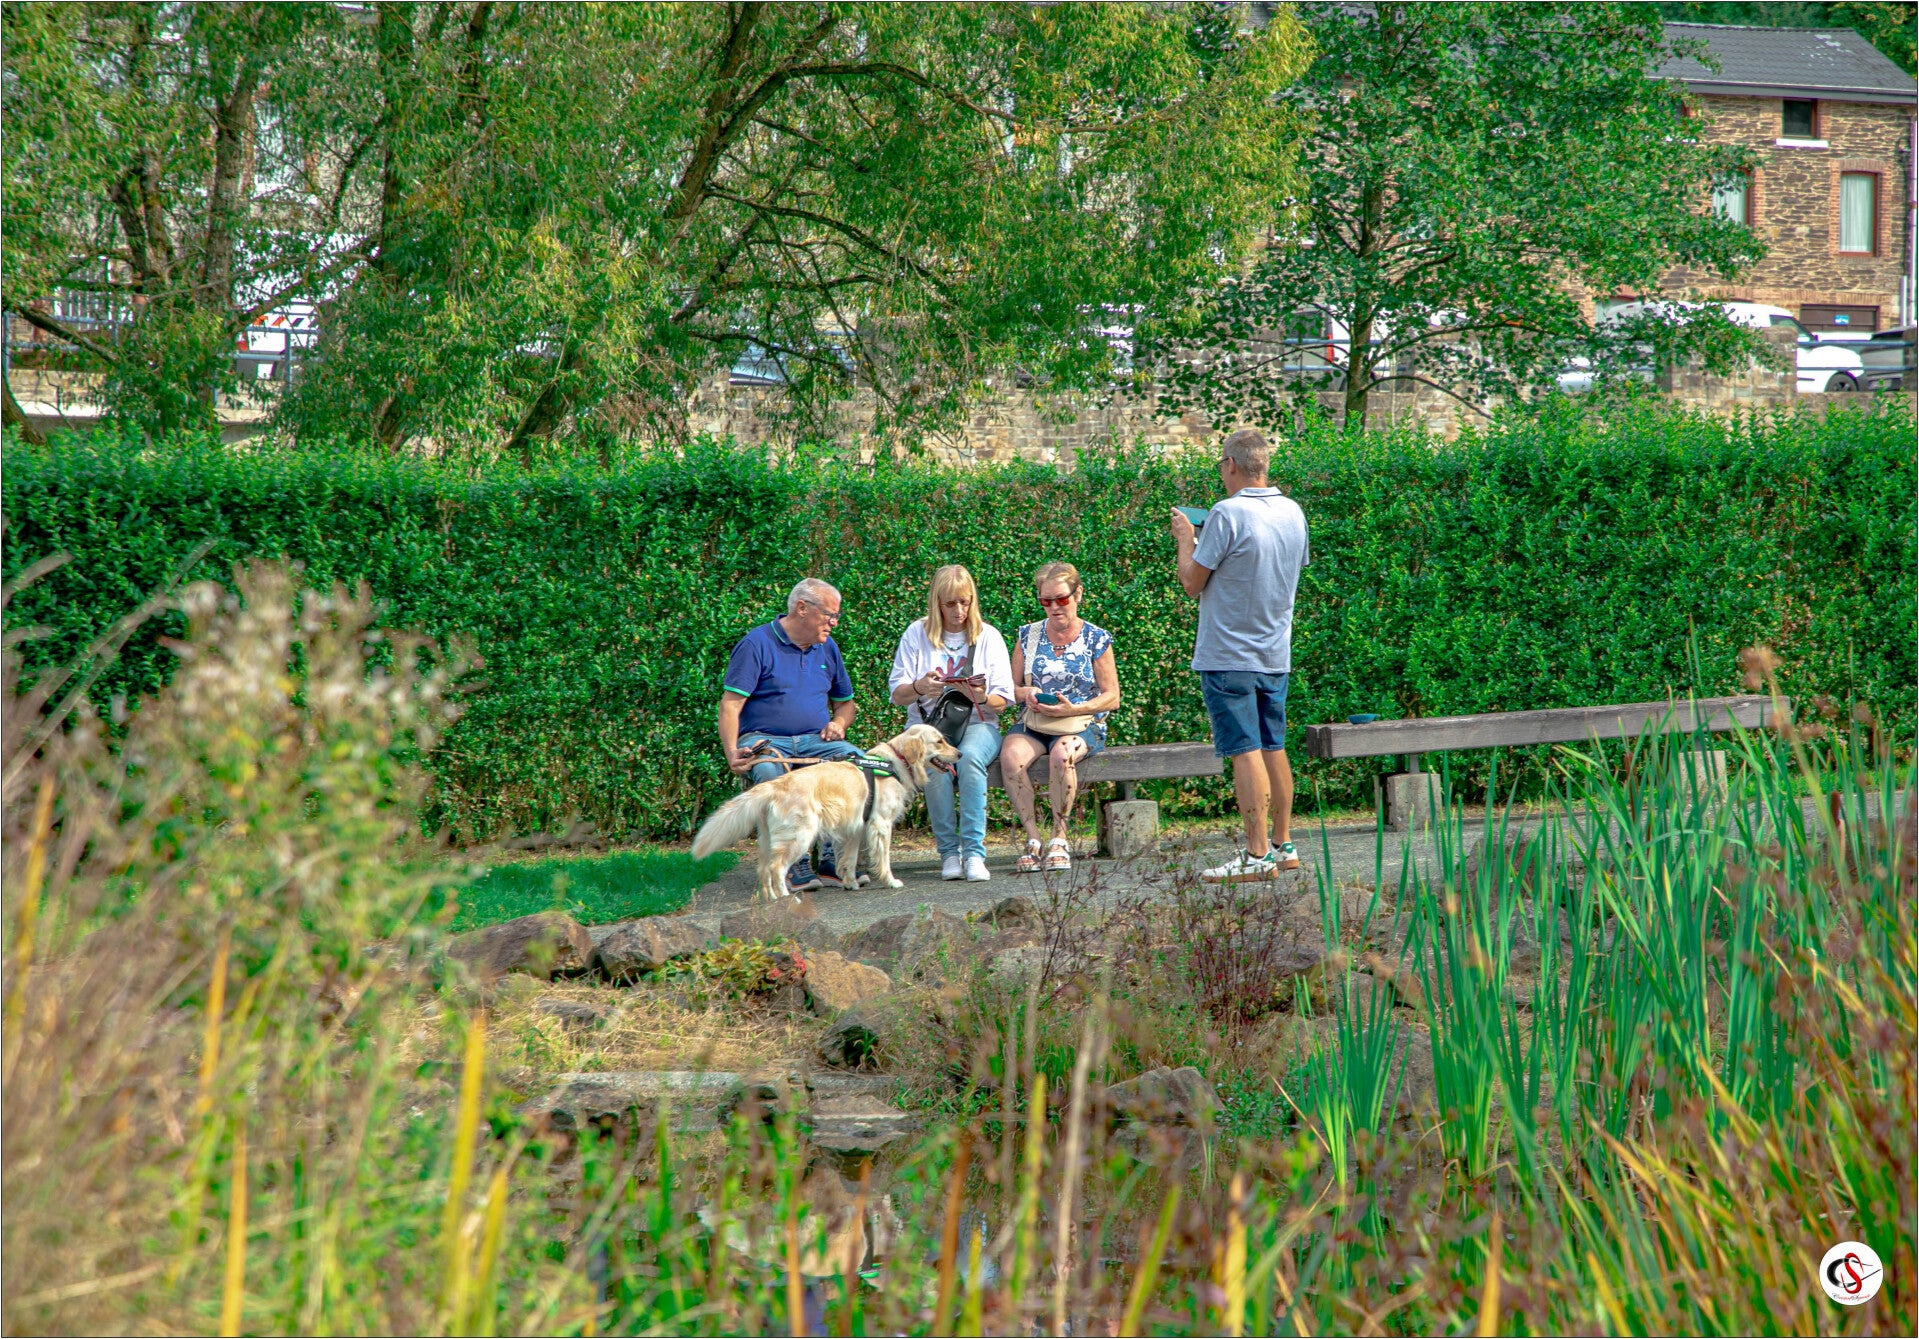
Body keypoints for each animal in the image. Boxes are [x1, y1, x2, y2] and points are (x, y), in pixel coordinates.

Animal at [691, 724, 961, 901]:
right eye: (939, 742)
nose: (959, 753)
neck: (895, 762)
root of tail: (774, 785)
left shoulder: (856, 828)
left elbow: (849, 860)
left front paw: (851, 883)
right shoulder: (880, 824)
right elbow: (883, 859)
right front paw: (890, 881)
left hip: (769, 839)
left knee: (764, 869)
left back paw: (772, 899)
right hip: (800, 835)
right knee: (777, 867)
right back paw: (786, 896)